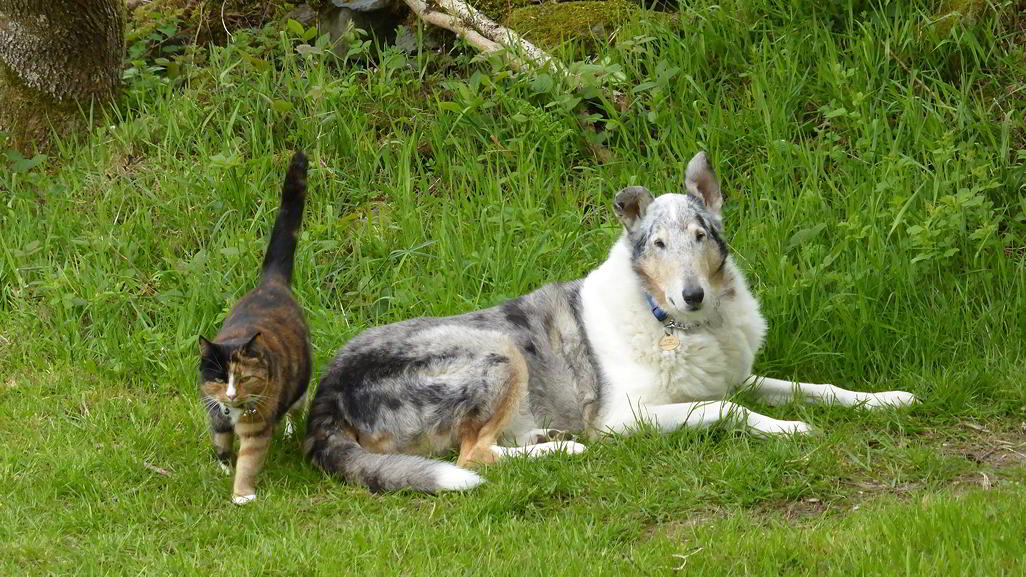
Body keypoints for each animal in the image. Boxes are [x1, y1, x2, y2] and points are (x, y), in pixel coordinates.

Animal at [198, 151, 309, 503]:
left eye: (245, 378)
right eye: (221, 378)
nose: (232, 394)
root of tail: (271, 282)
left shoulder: (257, 428)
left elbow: (249, 460)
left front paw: (242, 494)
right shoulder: (215, 413)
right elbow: (221, 444)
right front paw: (223, 466)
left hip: (300, 386)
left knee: (296, 409)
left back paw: (289, 431)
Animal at [299, 151, 919, 488]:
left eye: (701, 235)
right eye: (658, 244)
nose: (692, 295)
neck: (677, 326)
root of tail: (325, 397)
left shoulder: (740, 375)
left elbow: (816, 387)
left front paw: (886, 399)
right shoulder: (627, 420)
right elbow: (727, 410)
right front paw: (789, 429)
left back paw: (544, 437)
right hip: (497, 350)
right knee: (473, 454)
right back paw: (563, 449)